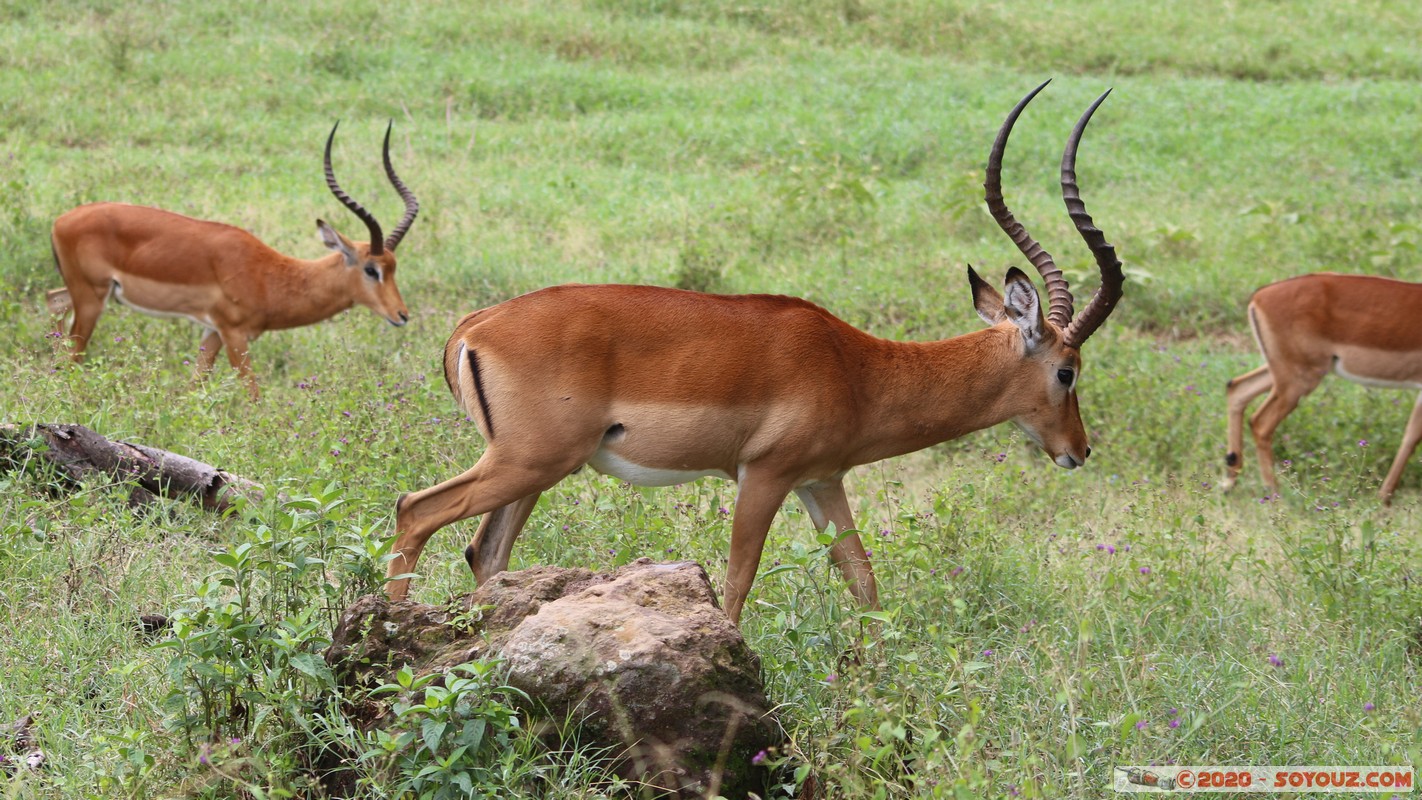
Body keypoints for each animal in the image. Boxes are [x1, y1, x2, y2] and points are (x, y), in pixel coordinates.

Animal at [47, 122, 420, 399]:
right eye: (371, 269)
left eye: (394, 267)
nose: (402, 315)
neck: (268, 275)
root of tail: (60, 221)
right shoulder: (235, 334)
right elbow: (252, 394)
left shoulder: (212, 331)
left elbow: (193, 389)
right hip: (92, 298)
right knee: (73, 352)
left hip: (86, 293)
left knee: (53, 303)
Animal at [389, 82, 1124, 624]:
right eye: (1067, 370)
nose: (1079, 450)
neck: (857, 368)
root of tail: (473, 327)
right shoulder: (764, 476)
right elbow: (738, 584)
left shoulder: (822, 481)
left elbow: (864, 584)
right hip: (530, 460)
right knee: (415, 510)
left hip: (537, 470)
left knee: (484, 552)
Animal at [1223, 273, 1422, 503]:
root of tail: (1259, 296)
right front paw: (1383, 498)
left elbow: (1410, 437)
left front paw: (1384, 497)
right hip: (1298, 380)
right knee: (1260, 423)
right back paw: (1274, 494)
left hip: (1284, 372)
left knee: (1237, 388)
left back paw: (1229, 481)